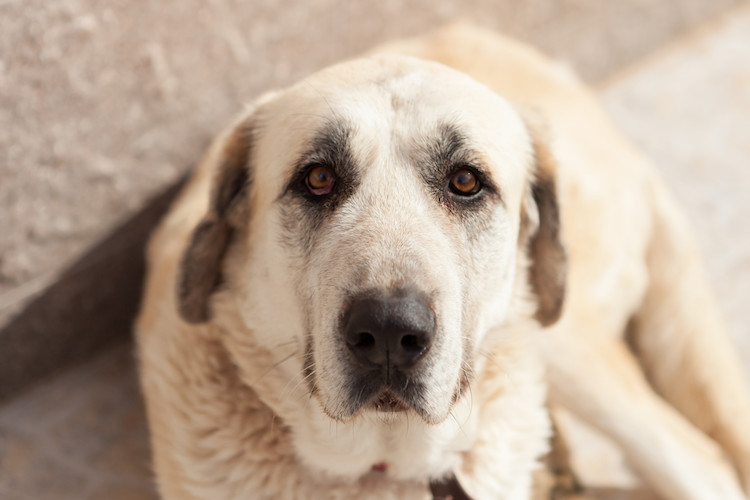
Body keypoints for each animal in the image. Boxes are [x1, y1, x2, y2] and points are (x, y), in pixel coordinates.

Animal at [135, 24, 750, 500]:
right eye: (319, 178)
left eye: (466, 182)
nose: (388, 331)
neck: (386, 462)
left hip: (563, 336)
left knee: (701, 459)